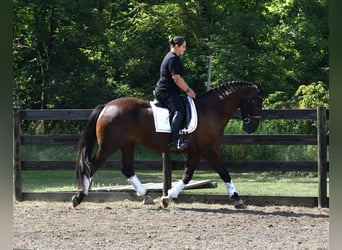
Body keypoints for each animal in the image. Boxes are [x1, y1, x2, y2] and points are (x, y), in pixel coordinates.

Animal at [71, 80, 264, 209]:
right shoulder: (210, 150)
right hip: (109, 145)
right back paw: (79, 197)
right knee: (92, 167)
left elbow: (187, 176)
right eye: (257, 101)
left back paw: (146, 196)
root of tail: (106, 106)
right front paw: (238, 199)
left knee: (127, 169)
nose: (252, 127)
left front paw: (167, 197)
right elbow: (224, 173)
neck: (211, 111)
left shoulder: (196, 152)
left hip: (127, 144)